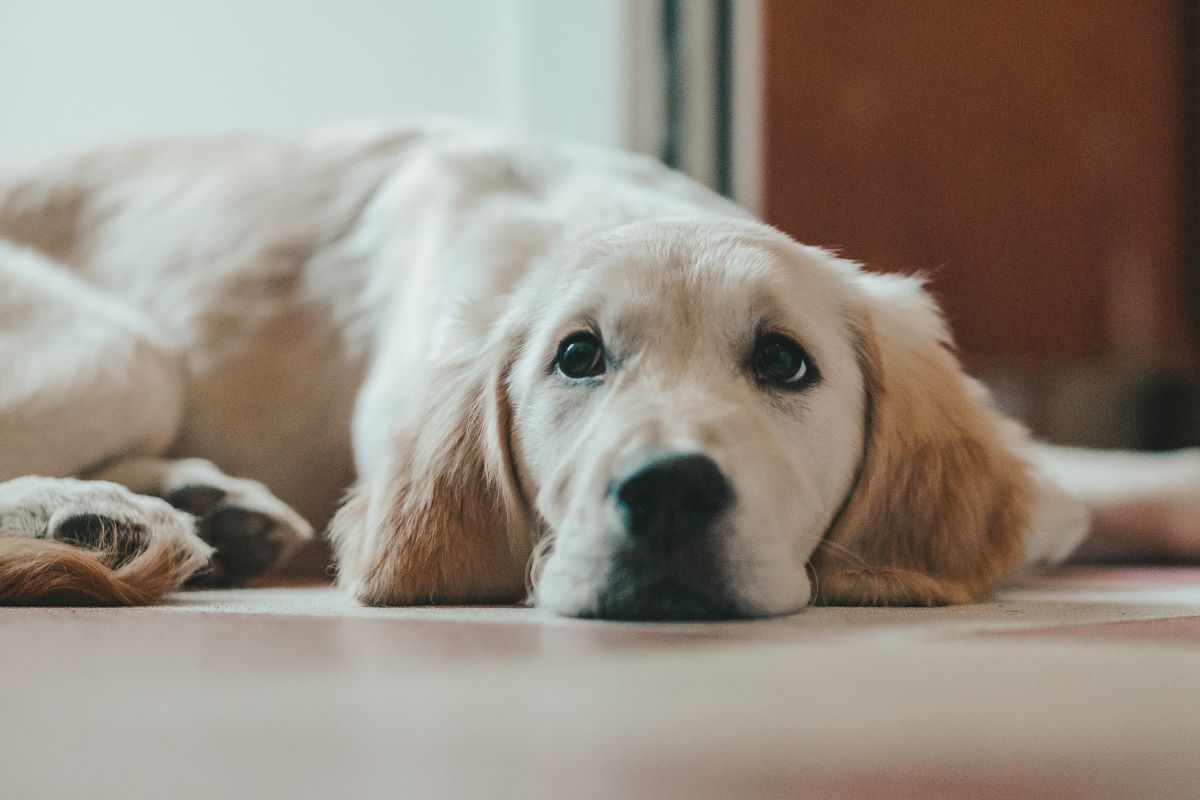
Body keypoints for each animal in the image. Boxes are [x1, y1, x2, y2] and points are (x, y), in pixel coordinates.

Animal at [0, 120, 1195, 618]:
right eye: (576, 357)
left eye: (783, 361)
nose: (666, 494)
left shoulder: (1049, 483)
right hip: (118, 351)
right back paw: (96, 518)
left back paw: (200, 508)